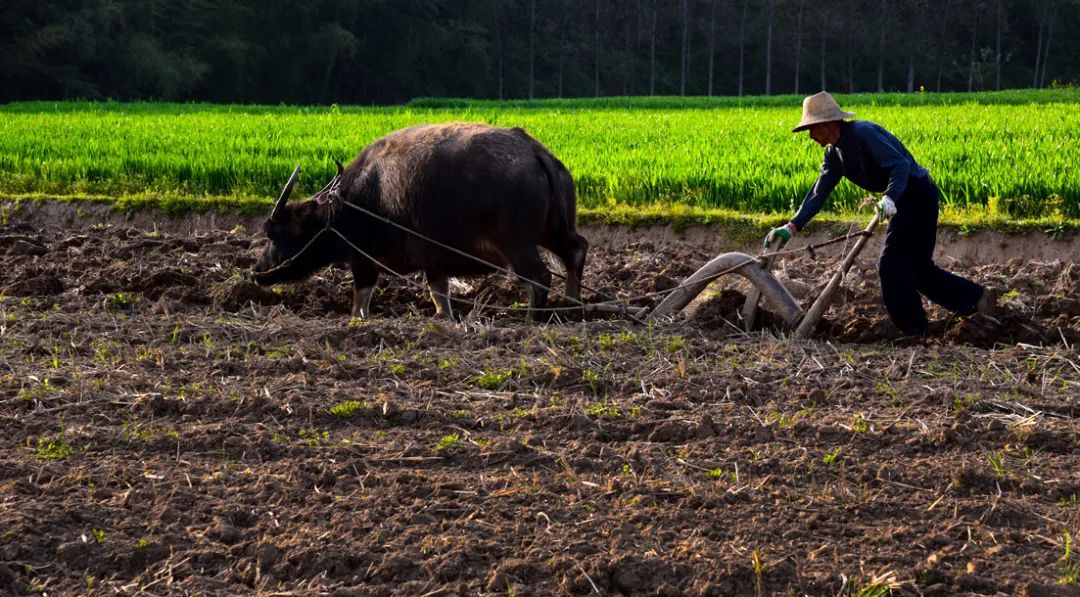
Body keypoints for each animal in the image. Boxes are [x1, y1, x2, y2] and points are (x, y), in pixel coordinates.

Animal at [250, 121, 591, 321]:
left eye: (273, 232)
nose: (256, 271)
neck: (346, 205)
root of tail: (535, 152)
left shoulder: (363, 258)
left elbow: (362, 295)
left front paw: (357, 319)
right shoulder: (435, 259)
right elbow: (439, 292)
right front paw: (444, 318)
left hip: (517, 243)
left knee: (539, 277)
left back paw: (532, 318)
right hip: (554, 230)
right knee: (575, 250)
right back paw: (573, 306)